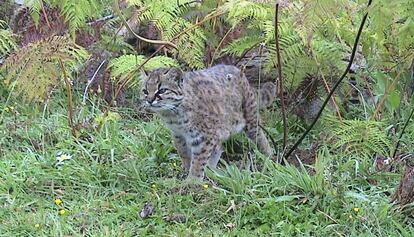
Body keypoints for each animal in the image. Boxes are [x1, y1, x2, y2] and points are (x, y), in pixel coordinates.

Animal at [142, 65, 274, 180]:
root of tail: (238, 70)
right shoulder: (178, 134)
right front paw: (187, 171)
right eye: (145, 91)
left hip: (250, 118)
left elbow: (199, 159)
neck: (173, 114)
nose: (149, 100)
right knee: (219, 147)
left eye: (162, 90)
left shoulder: (204, 135)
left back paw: (269, 156)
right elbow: (183, 152)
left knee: (260, 136)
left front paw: (192, 181)